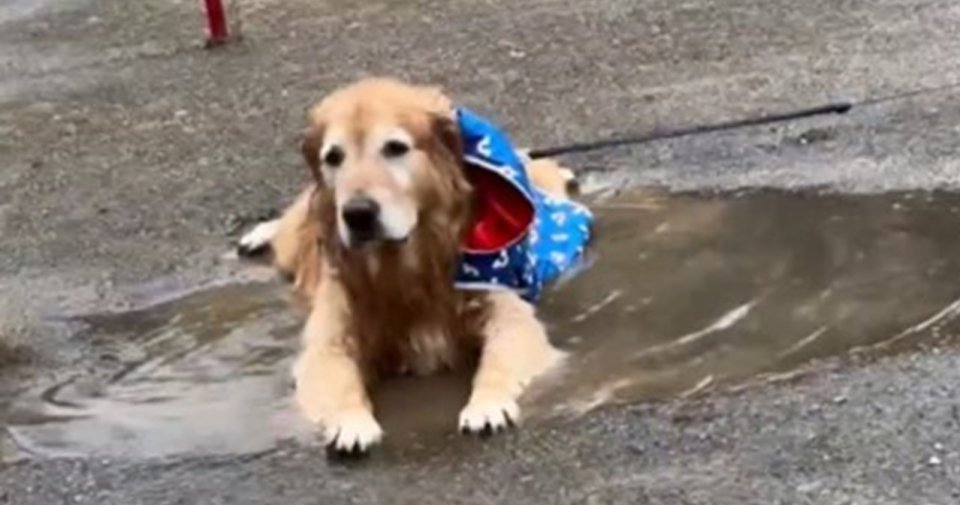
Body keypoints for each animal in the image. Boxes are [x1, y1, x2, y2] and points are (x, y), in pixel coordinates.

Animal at [238, 78, 592, 452]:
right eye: (333, 157)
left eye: (395, 148)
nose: (357, 214)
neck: (406, 266)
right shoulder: (329, 339)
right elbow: (336, 375)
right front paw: (351, 422)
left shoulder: (506, 312)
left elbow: (499, 358)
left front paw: (487, 404)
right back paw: (258, 234)